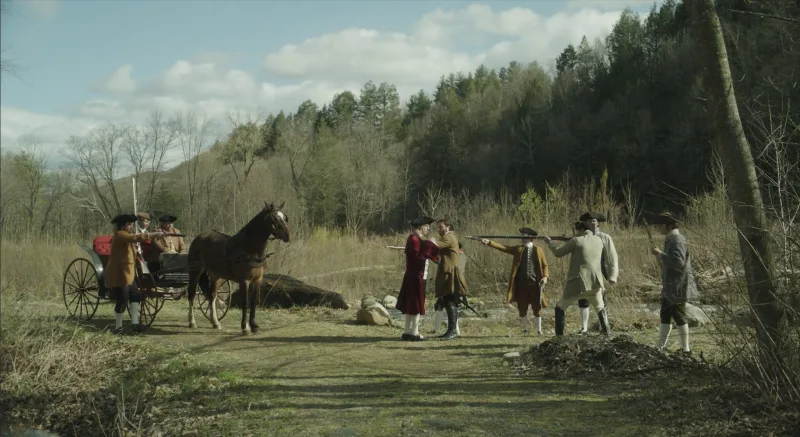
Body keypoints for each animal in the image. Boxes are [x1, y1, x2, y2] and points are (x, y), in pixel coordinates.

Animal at [186, 201, 290, 334]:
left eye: (284, 217)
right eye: (274, 219)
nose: (287, 235)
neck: (250, 249)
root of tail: (199, 237)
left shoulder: (257, 280)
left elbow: (253, 302)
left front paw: (254, 326)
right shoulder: (244, 281)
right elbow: (245, 302)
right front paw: (245, 327)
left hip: (215, 275)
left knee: (212, 296)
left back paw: (215, 322)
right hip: (195, 271)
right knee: (192, 294)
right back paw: (192, 322)